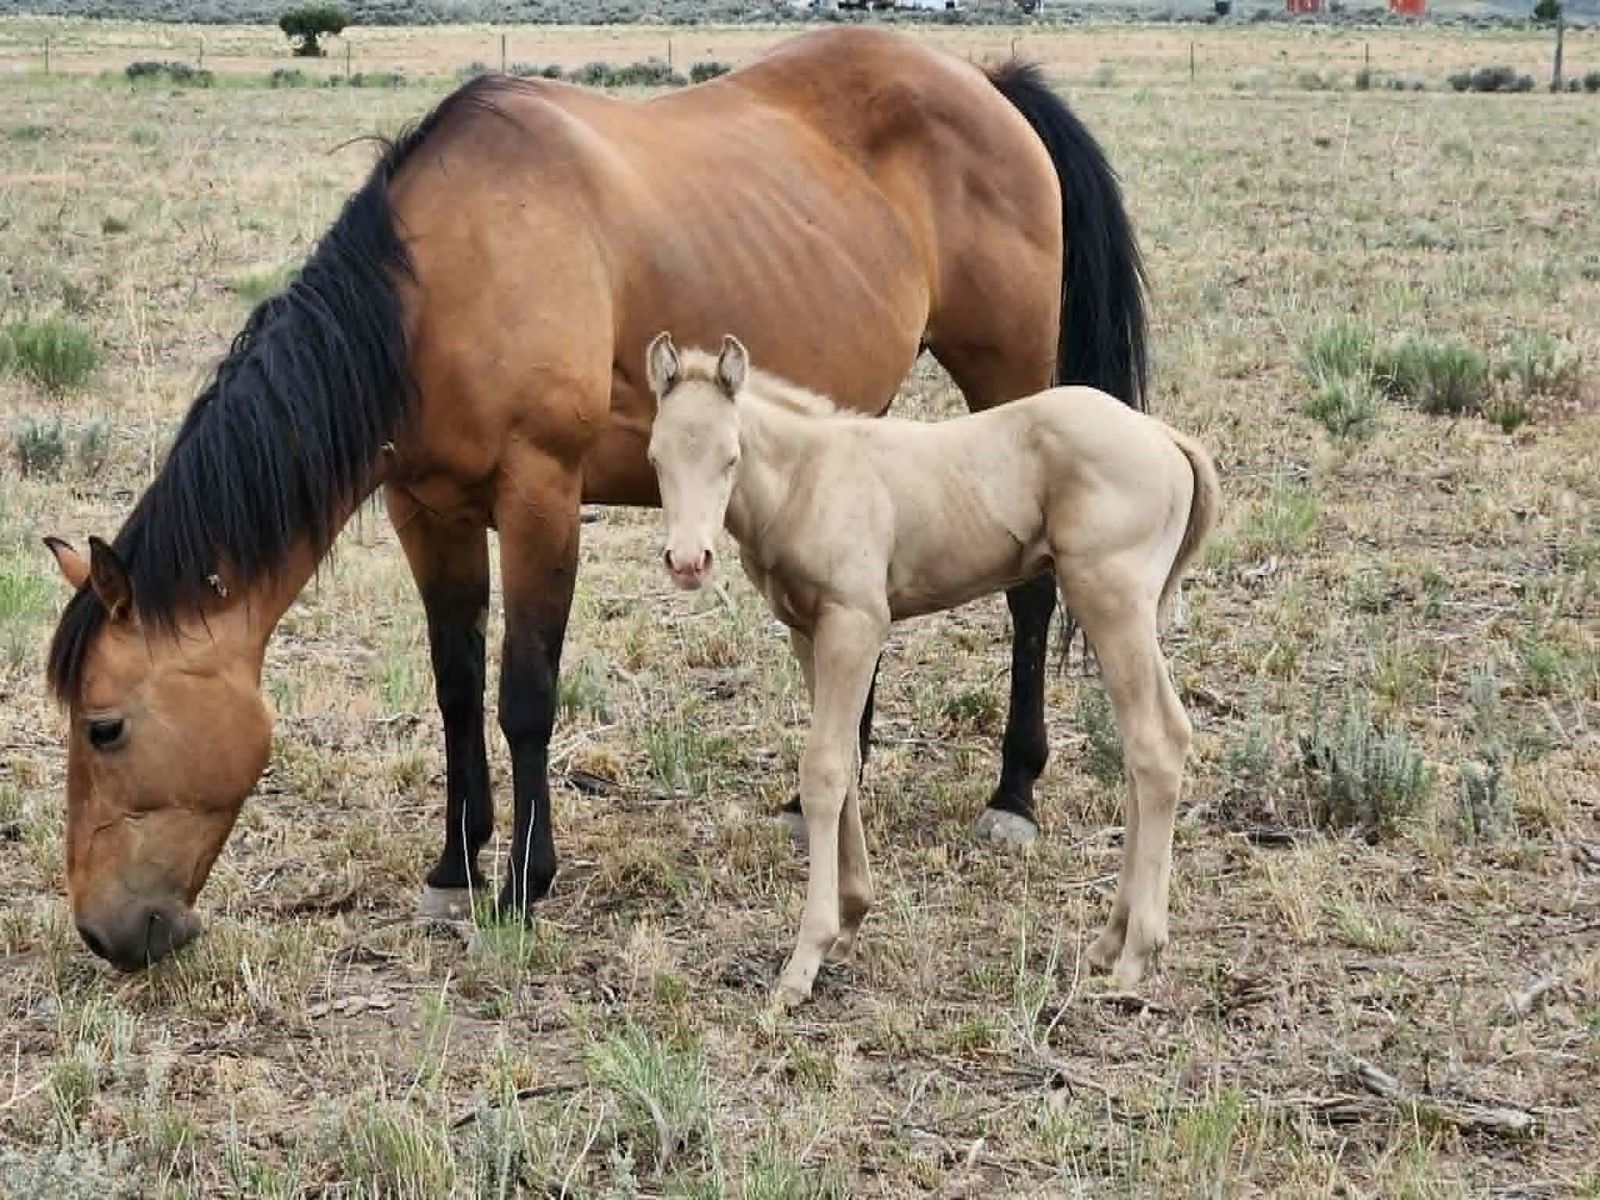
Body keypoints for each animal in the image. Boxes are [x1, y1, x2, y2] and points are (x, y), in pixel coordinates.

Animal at [43, 26, 1147, 972]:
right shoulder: (427, 511)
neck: (438, 289)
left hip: (1007, 382)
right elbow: (455, 689)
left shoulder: (540, 495)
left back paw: (1013, 796)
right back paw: (821, 799)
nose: (105, 933)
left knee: (1030, 592)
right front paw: (454, 867)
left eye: (106, 727)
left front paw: (524, 885)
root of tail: (985, 82)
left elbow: (524, 693)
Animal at [644, 333, 1217, 1005]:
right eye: (656, 458)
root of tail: (1163, 437)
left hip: (1111, 599)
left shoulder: (856, 624)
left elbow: (825, 771)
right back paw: (1108, 942)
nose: (688, 562)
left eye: (730, 458)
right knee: (1152, 739)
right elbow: (845, 763)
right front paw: (851, 921)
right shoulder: (808, 633)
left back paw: (1136, 955)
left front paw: (804, 961)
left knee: (1155, 744)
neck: (808, 478)